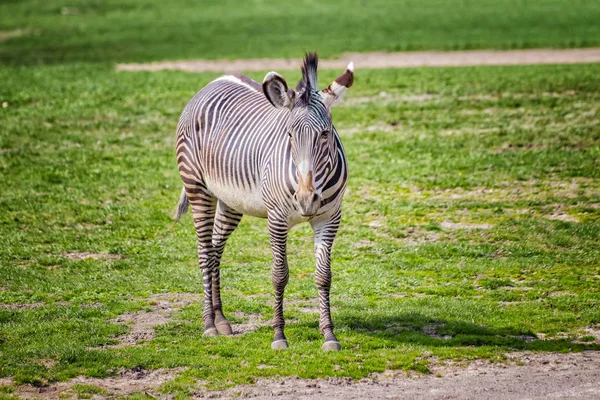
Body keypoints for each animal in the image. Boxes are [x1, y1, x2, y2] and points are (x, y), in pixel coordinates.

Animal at [173, 52, 352, 350]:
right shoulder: (276, 218)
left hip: (231, 201)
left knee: (215, 249)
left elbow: (324, 276)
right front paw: (279, 335)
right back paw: (209, 324)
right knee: (204, 252)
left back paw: (222, 320)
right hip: (197, 187)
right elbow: (279, 275)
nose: (306, 199)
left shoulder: (329, 218)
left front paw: (329, 335)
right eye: (289, 135)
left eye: (325, 134)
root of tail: (216, 80)